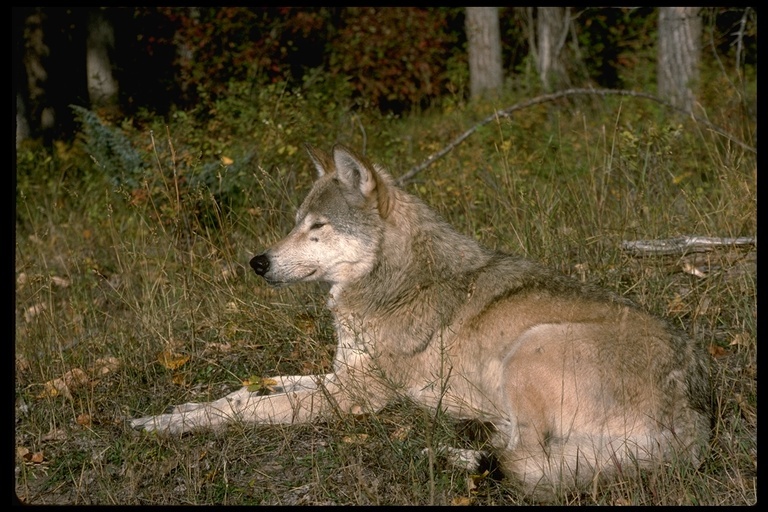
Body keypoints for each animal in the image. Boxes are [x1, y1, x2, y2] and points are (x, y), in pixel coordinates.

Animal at [130, 143, 708, 500]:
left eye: (318, 226)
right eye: (295, 224)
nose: (257, 262)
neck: (389, 285)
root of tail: (692, 411)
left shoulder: (357, 394)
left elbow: (251, 409)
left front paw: (170, 424)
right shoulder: (342, 373)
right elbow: (250, 389)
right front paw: (183, 408)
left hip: (531, 345)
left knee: (529, 462)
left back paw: (447, 455)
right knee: (524, 452)